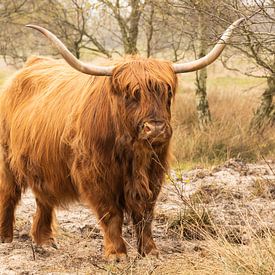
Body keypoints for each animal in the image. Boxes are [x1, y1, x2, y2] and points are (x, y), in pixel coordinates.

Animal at [0, 18, 244, 260]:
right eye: (132, 95)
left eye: (167, 92)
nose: (155, 129)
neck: (132, 151)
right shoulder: (96, 174)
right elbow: (111, 213)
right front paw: (117, 254)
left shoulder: (154, 171)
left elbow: (145, 213)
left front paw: (150, 251)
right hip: (6, 160)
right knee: (8, 195)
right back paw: (6, 239)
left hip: (42, 164)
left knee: (43, 199)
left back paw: (45, 241)